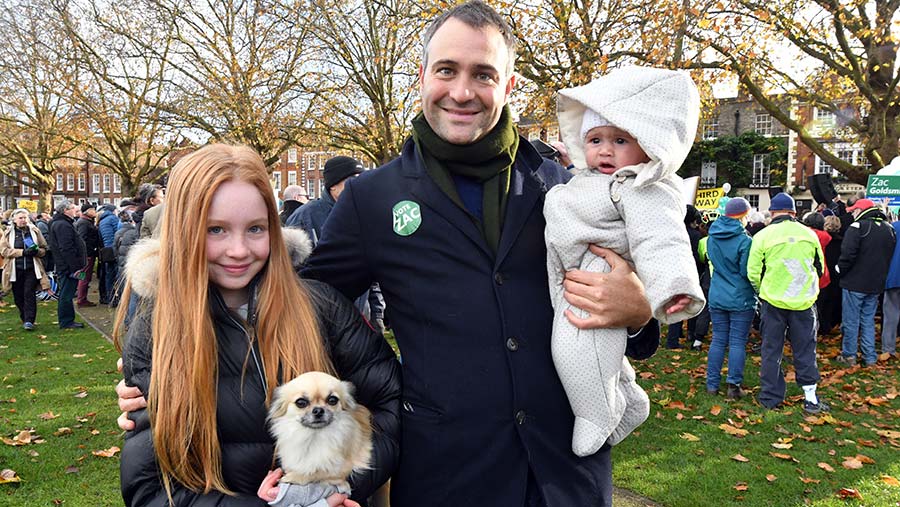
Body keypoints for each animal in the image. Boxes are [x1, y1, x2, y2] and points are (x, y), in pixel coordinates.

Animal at [268, 372, 372, 506]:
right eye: (301, 402)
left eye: (332, 400)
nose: (318, 410)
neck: (314, 436)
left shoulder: (342, 469)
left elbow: (317, 472)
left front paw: (293, 476)